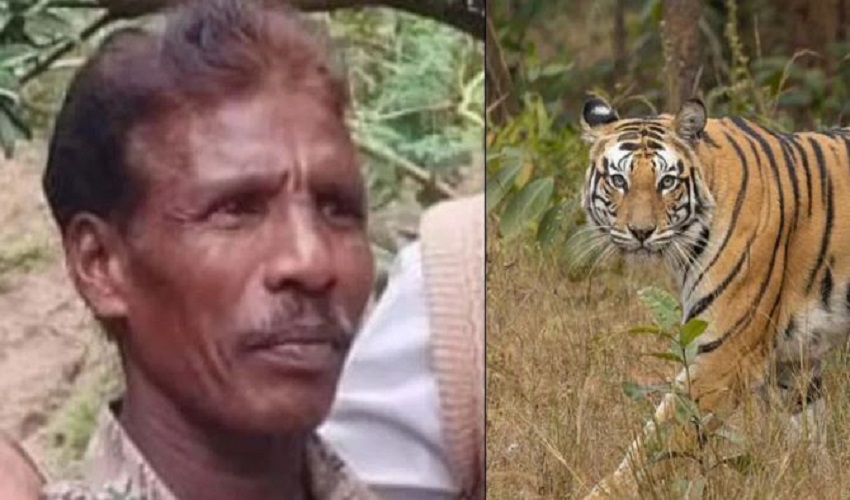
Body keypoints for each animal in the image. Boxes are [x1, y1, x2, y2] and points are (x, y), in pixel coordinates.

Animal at [578, 96, 850, 498]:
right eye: (618, 181)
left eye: (666, 182)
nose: (641, 232)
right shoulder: (795, 361)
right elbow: (808, 438)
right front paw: (817, 480)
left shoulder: (724, 355)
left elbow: (655, 445)